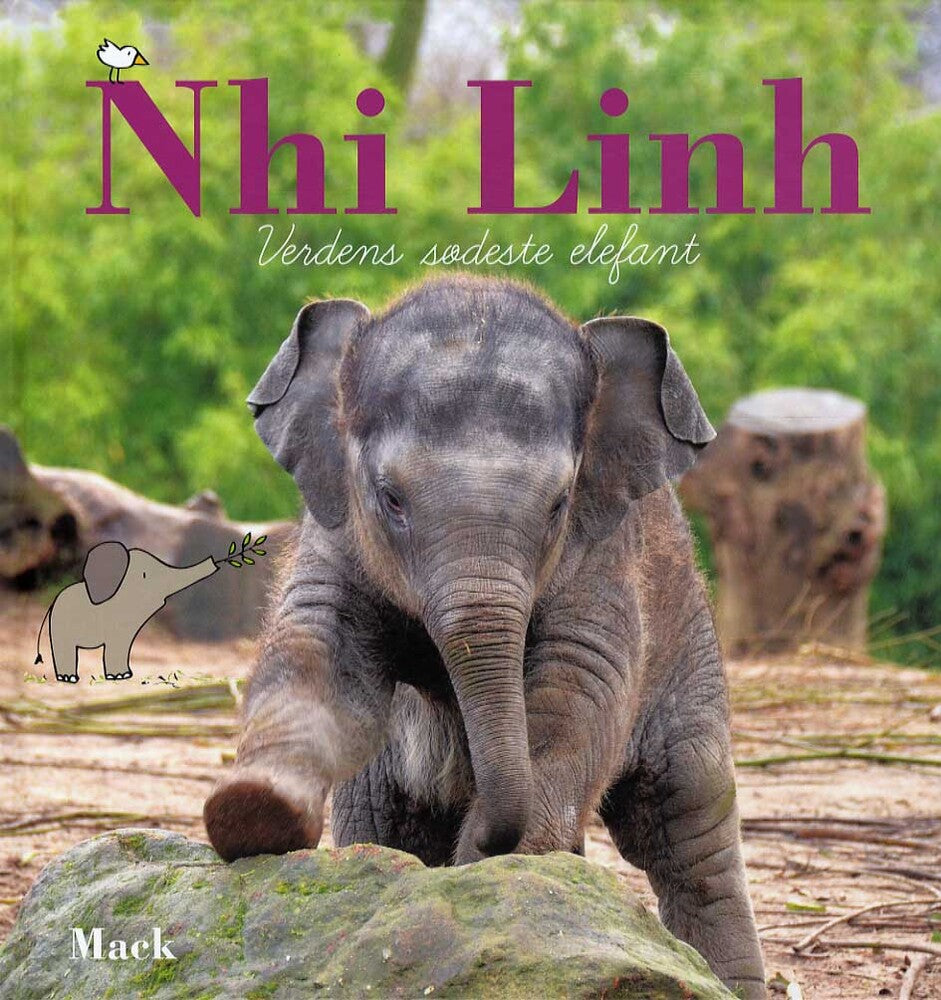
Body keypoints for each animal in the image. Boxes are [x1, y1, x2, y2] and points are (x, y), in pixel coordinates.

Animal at [203, 276, 767, 997]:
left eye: (558, 505)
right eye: (390, 498)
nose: (486, 842)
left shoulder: (603, 564)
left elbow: (571, 701)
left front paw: (483, 867)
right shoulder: (335, 539)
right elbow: (319, 659)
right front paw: (251, 811)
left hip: (688, 639)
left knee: (687, 823)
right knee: (385, 820)